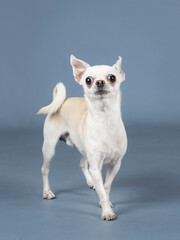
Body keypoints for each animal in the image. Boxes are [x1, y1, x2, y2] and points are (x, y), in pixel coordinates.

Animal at [37, 55, 128, 220]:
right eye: (88, 80)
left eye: (112, 77)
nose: (99, 82)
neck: (105, 120)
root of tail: (64, 100)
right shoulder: (96, 167)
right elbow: (102, 190)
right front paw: (107, 212)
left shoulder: (115, 164)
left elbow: (106, 186)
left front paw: (105, 201)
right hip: (49, 148)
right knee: (44, 169)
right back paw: (47, 192)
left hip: (83, 149)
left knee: (82, 164)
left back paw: (91, 182)